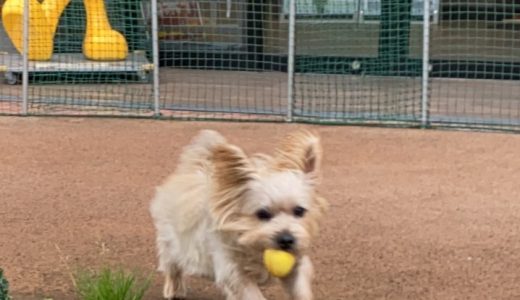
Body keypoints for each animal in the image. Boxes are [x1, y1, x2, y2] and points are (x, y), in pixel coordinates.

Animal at [150, 129, 328, 300]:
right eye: (262, 213)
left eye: (299, 211)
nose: (286, 239)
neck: (255, 246)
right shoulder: (235, 275)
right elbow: (253, 295)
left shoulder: (296, 266)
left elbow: (300, 289)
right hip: (172, 244)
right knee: (173, 267)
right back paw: (174, 289)